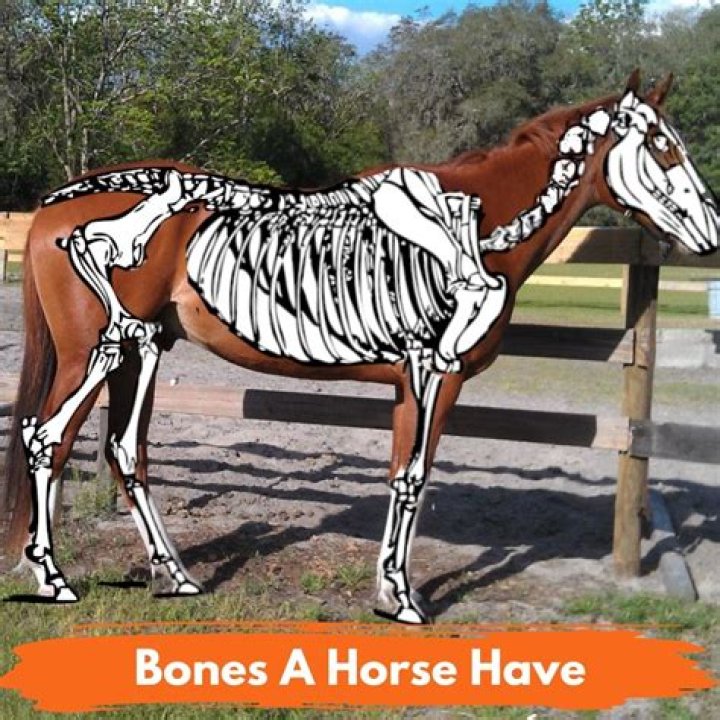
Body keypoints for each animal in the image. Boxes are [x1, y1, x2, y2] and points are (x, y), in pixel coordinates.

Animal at [2, 70, 717, 624]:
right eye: (661, 145)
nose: (711, 232)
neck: (478, 225)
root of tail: (56, 205)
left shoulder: (409, 382)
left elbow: (402, 474)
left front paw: (387, 589)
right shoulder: (436, 373)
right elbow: (414, 476)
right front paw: (404, 601)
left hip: (143, 350)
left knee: (122, 448)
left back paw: (172, 576)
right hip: (95, 351)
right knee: (45, 439)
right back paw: (52, 578)